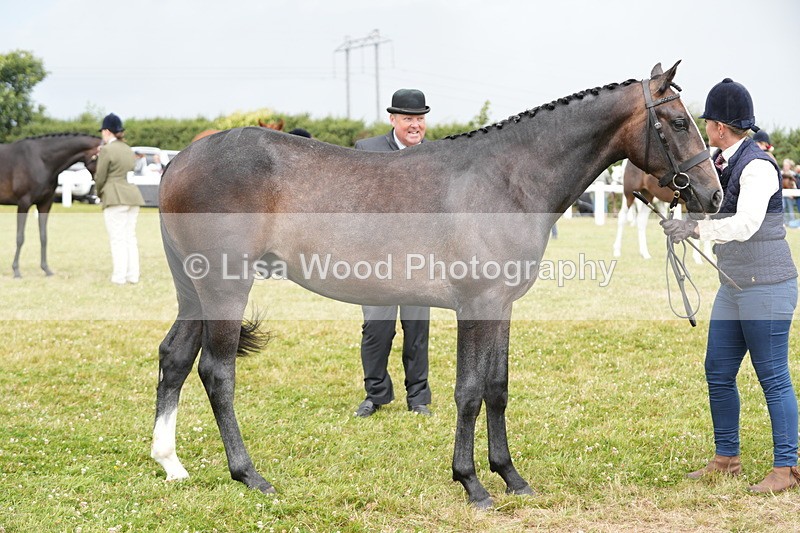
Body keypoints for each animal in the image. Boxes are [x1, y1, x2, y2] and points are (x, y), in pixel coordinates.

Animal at [0, 133, 102, 277]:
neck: (41, 160)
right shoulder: (24, 204)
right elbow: (20, 237)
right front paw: (16, 270)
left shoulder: (45, 204)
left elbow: (44, 237)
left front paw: (46, 269)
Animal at [153, 61, 722, 508]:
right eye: (677, 121)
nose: (713, 196)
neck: (507, 179)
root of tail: (180, 160)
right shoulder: (476, 303)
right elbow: (469, 392)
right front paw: (472, 484)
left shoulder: (501, 306)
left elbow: (497, 388)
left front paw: (511, 477)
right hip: (226, 287)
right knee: (217, 372)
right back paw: (250, 475)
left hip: (195, 289)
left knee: (174, 357)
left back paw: (170, 463)